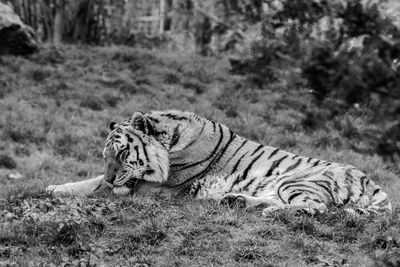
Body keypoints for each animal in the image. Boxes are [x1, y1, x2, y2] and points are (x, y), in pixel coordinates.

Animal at [46, 110, 390, 217]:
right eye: (104, 156)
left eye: (121, 154)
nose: (112, 175)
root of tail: (376, 186)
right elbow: (91, 182)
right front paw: (53, 187)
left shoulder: (151, 188)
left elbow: (95, 186)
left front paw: (53, 189)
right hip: (282, 183)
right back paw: (236, 200)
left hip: (298, 178)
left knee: (314, 208)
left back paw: (269, 212)